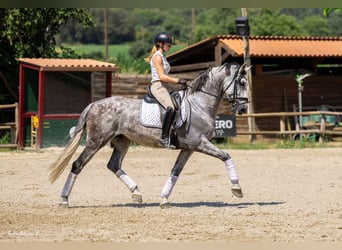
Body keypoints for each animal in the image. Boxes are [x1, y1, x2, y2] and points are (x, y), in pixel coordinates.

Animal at [48, 61, 250, 208]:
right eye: (241, 83)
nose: (243, 109)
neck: (199, 105)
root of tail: (94, 104)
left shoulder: (189, 148)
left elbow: (175, 172)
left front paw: (164, 199)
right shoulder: (199, 143)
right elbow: (226, 156)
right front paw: (237, 189)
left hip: (122, 141)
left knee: (114, 165)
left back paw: (136, 193)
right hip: (96, 141)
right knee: (78, 164)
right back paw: (64, 200)